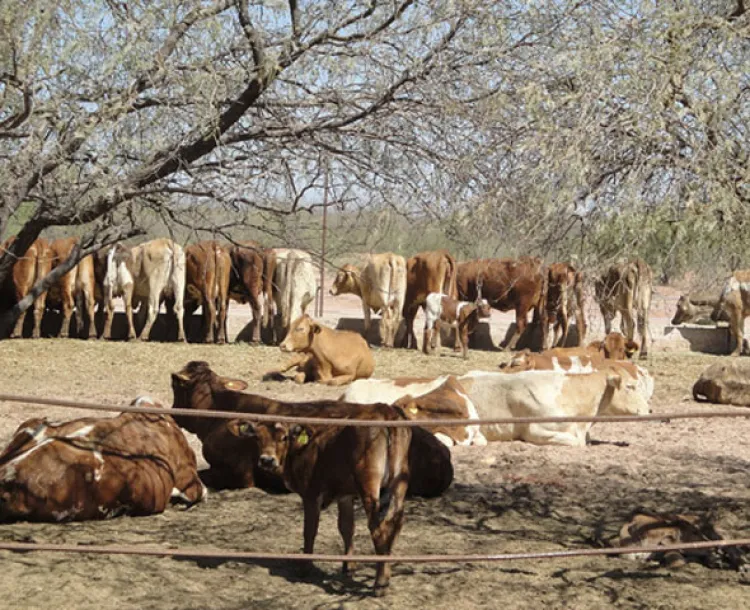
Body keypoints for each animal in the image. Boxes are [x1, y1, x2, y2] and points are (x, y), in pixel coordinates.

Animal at [235, 410, 412, 592]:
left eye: (284, 437)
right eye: (257, 437)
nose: (267, 460)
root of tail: (385, 414)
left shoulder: (311, 495)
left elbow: (309, 531)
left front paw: (304, 568)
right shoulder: (345, 496)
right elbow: (346, 527)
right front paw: (349, 567)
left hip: (368, 485)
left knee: (378, 527)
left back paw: (380, 582)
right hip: (400, 482)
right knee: (396, 522)